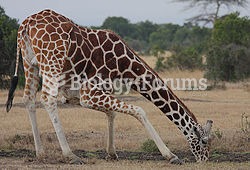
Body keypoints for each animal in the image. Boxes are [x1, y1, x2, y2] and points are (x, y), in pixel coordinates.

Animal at [5, 9, 213, 163]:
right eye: (203, 142)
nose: (204, 160)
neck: (125, 66)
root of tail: (25, 24)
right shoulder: (87, 93)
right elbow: (139, 110)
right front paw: (170, 155)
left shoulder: (85, 93)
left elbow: (112, 113)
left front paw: (112, 153)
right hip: (51, 62)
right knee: (47, 98)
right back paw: (71, 155)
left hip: (30, 63)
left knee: (29, 99)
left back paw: (40, 153)